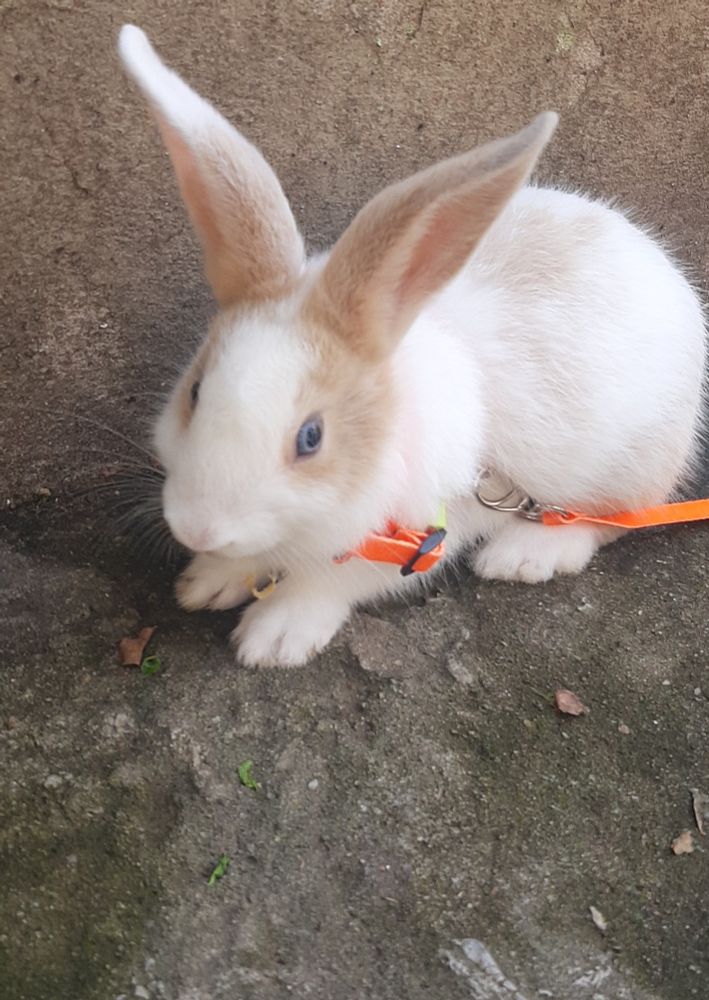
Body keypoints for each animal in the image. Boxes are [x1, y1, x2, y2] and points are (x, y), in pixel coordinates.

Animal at [118, 25, 706, 668]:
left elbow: (328, 583)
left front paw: (274, 638)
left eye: (310, 438)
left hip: (635, 464)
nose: (197, 528)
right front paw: (207, 579)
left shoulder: (416, 537)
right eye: (196, 392)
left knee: (611, 520)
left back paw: (524, 555)